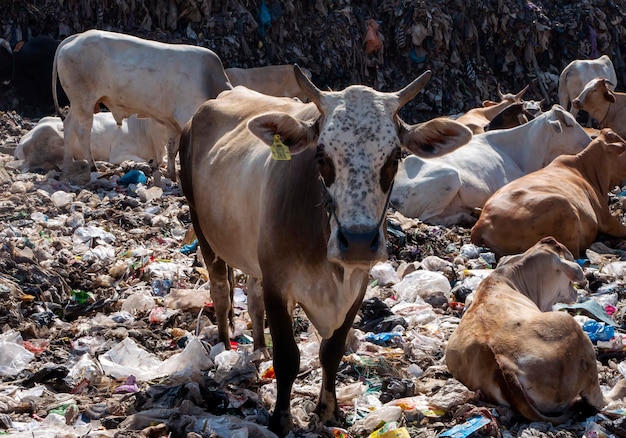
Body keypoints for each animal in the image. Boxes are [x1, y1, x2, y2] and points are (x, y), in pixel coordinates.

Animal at [53, 29, 232, 180]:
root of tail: (78, 37)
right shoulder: (185, 115)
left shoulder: (172, 124)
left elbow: (172, 149)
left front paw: (171, 174)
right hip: (84, 102)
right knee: (83, 131)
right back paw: (92, 166)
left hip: (77, 103)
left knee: (69, 126)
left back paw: (68, 167)